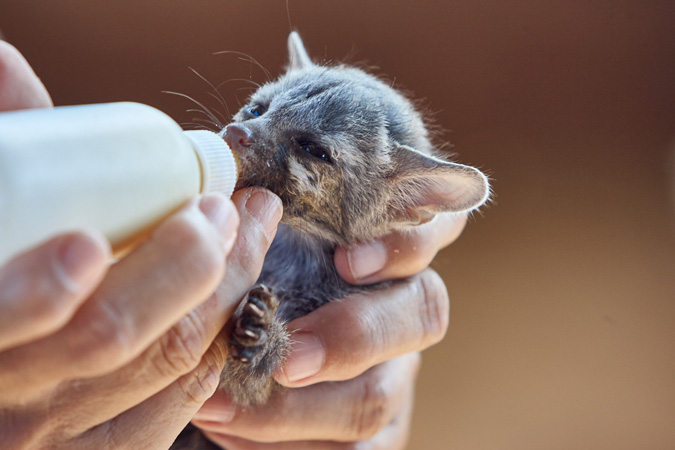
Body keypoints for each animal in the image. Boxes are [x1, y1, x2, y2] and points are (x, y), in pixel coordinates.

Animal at [172, 30, 488, 450]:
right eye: (257, 110)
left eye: (312, 149)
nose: (238, 133)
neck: (290, 248)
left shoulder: (264, 393)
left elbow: (252, 384)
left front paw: (263, 341)